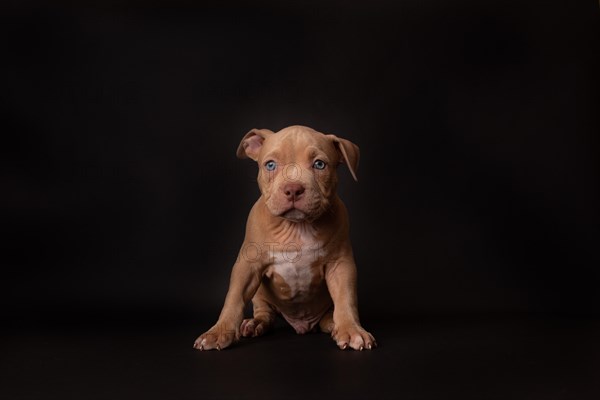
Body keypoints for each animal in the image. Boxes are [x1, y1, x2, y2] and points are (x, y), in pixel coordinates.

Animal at [195, 125, 378, 350]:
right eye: (270, 165)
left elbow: (346, 298)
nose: (292, 189)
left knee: (330, 313)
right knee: (265, 313)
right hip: (260, 294)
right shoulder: (247, 266)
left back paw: (334, 325)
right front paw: (218, 332)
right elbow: (234, 299)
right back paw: (254, 324)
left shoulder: (341, 265)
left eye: (319, 164)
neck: (296, 227)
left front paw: (351, 330)